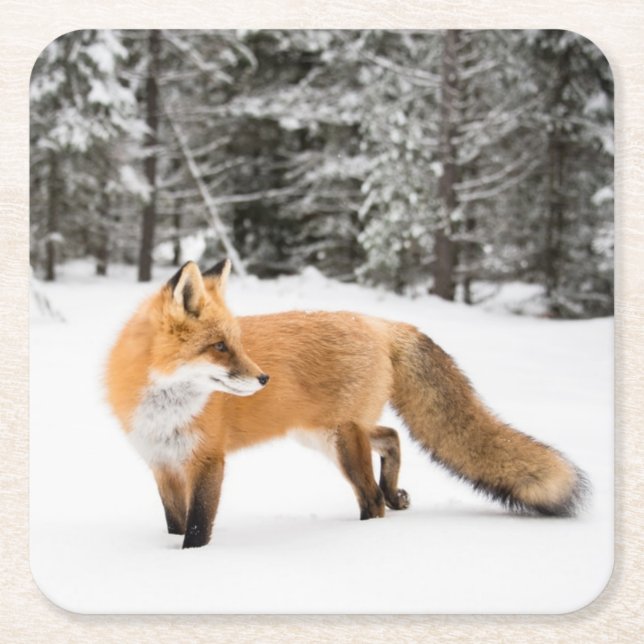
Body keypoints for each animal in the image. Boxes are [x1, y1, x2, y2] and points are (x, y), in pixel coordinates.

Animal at [105, 259, 588, 548]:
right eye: (220, 347)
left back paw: (364, 531)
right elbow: (174, 522)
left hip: (340, 440)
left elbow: (197, 527)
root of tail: (379, 323)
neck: (165, 410)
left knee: (371, 498)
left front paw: (190, 562)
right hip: (324, 434)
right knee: (391, 436)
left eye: (236, 344)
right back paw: (395, 493)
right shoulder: (162, 464)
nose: (263, 378)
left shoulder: (207, 461)